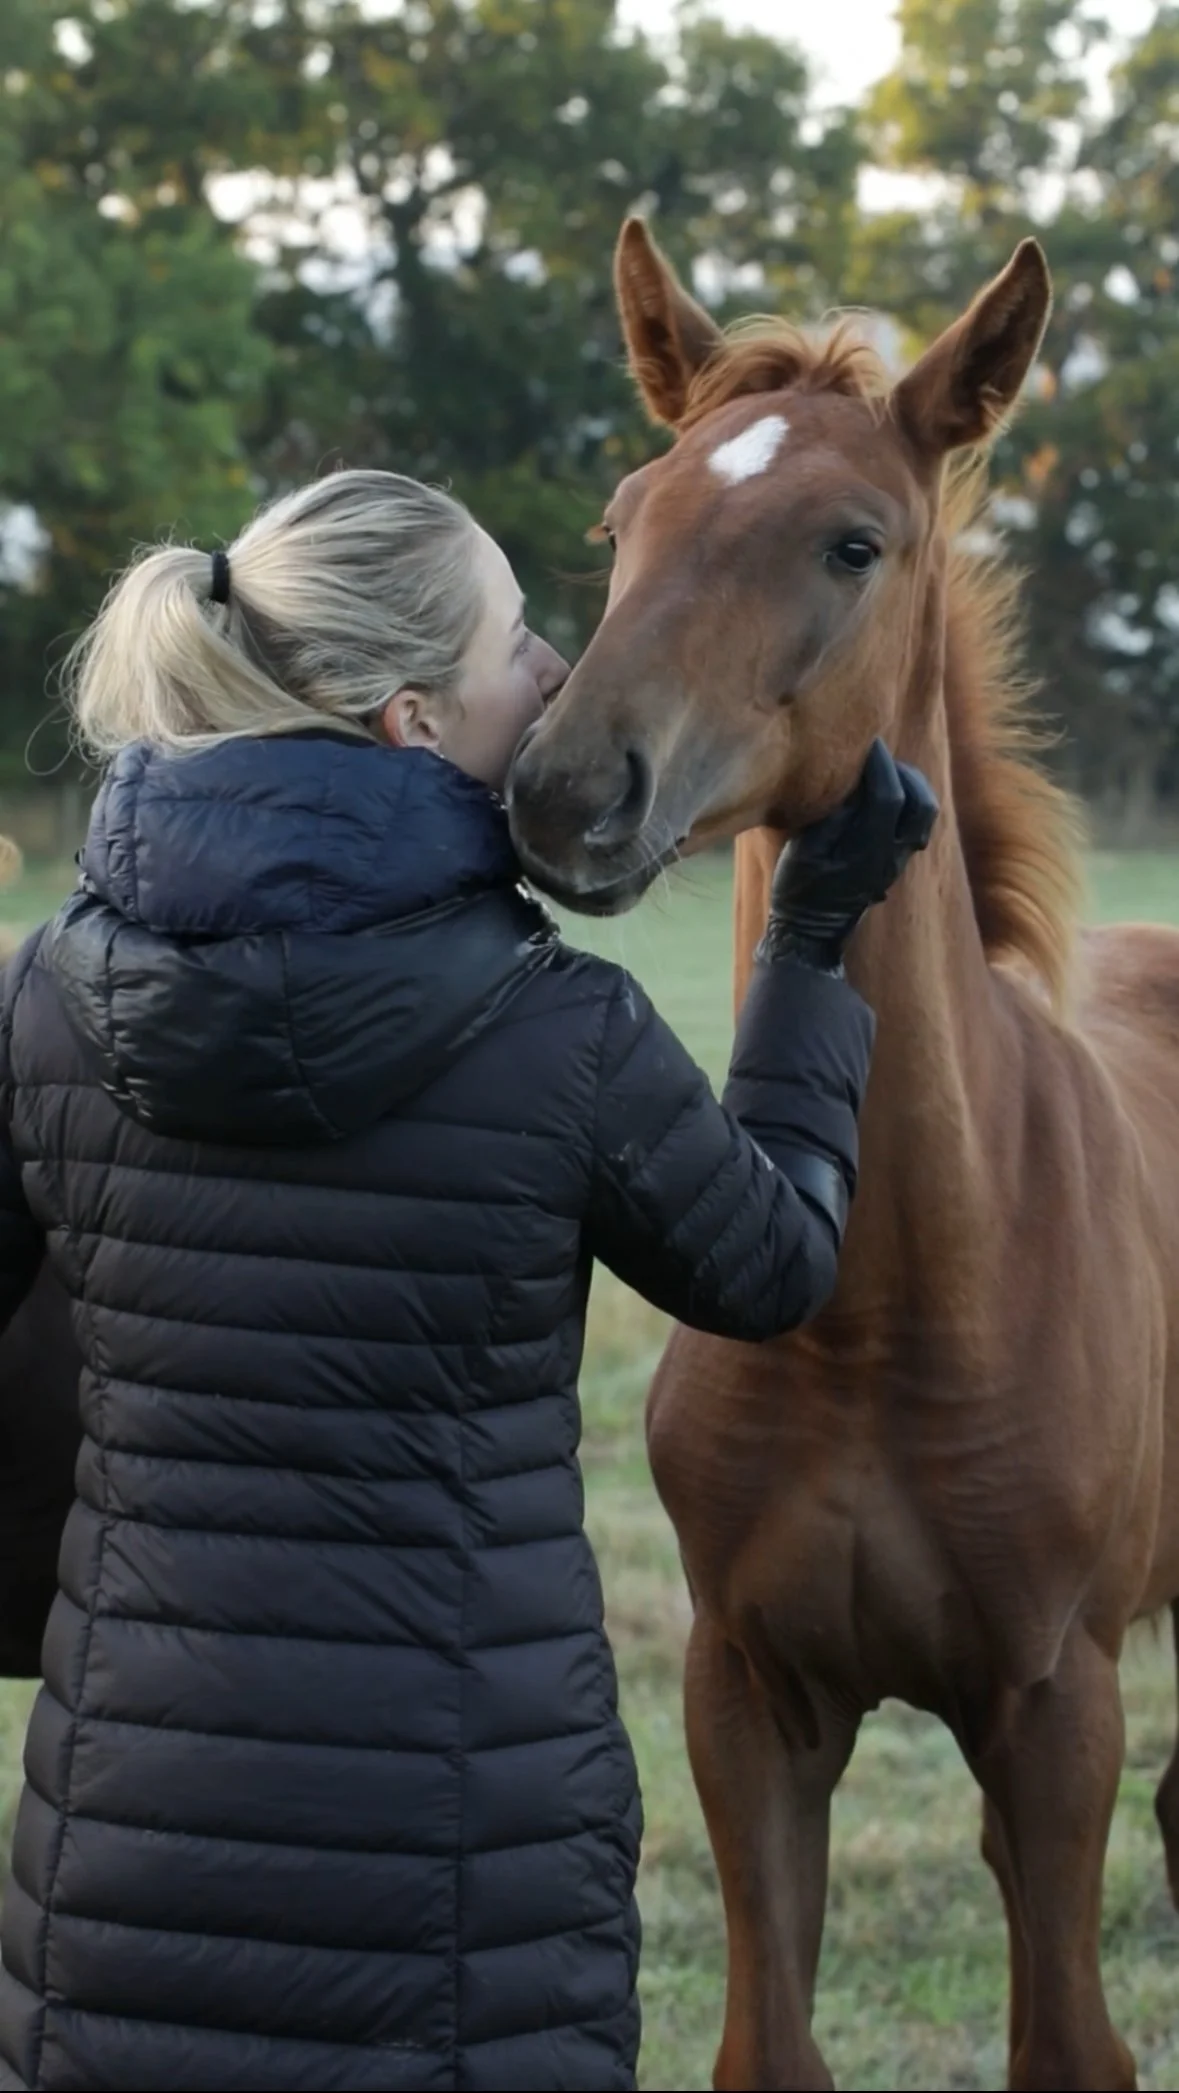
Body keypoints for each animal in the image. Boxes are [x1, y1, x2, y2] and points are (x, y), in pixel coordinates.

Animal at [507, 219, 1179, 2092]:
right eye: (624, 518)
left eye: (851, 541)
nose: (566, 789)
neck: (885, 1298)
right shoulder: (746, 1696)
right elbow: (768, 2043)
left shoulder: (1055, 1708)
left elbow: (1066, 2046)